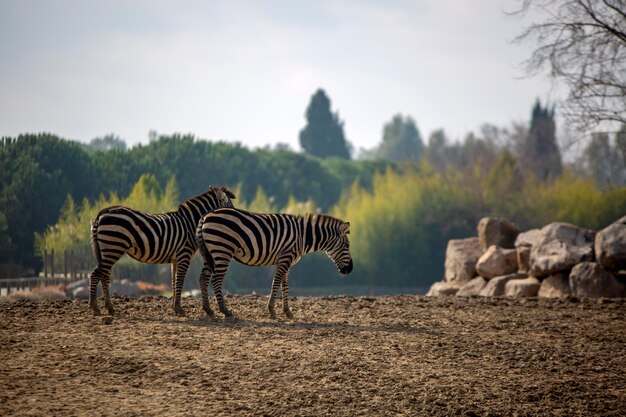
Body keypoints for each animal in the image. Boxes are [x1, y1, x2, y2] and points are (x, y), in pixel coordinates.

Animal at [88, 185, 234, 316]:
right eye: (229, 206)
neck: (190, 223)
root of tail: (104, 211)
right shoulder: (184, 255)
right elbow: (180, 280)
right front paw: (179, 309)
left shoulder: (175, 259)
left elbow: (174, 282)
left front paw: (175, 308)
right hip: (113, 247)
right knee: (100, 274)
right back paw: (98, 308)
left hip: (107, 249)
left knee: (100, 274)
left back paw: (105, 307)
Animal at [195, 208, 352, 318]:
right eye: (347, 245)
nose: (349, 270)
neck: (302, 236)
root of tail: (206, 216)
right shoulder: (285, 258)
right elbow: (276, 283)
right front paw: (271, 310)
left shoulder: (287, 261)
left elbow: (285, 286)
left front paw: (287, 311)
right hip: (222, 250)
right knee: (216, 280)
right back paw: (225, 310)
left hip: (209, 253)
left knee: (203, 278)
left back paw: (208, 310)